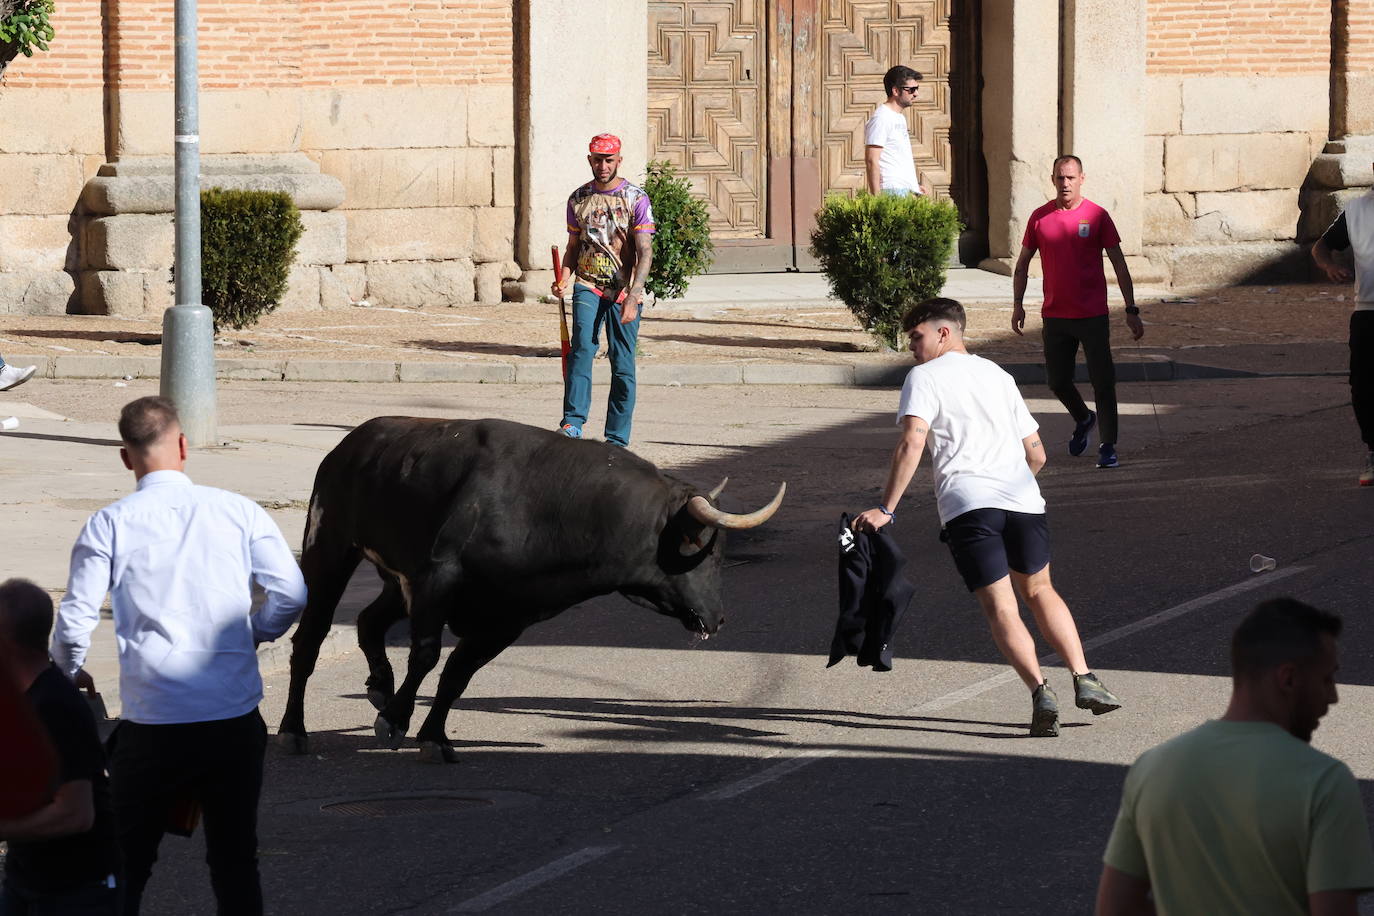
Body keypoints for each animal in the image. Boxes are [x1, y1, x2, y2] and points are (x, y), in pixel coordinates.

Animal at [276, 420, 785, 763]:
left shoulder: (508, 618)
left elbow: (459, 674)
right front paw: (396, 721)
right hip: (329, 549)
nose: (717, 618)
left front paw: (434, 737)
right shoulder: (438, 580)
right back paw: (292, 729)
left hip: (395, 581)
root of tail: (354, 441)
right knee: (310, 639)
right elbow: (426, 655)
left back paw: (379, 685)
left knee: (367, 621)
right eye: (700, 546)